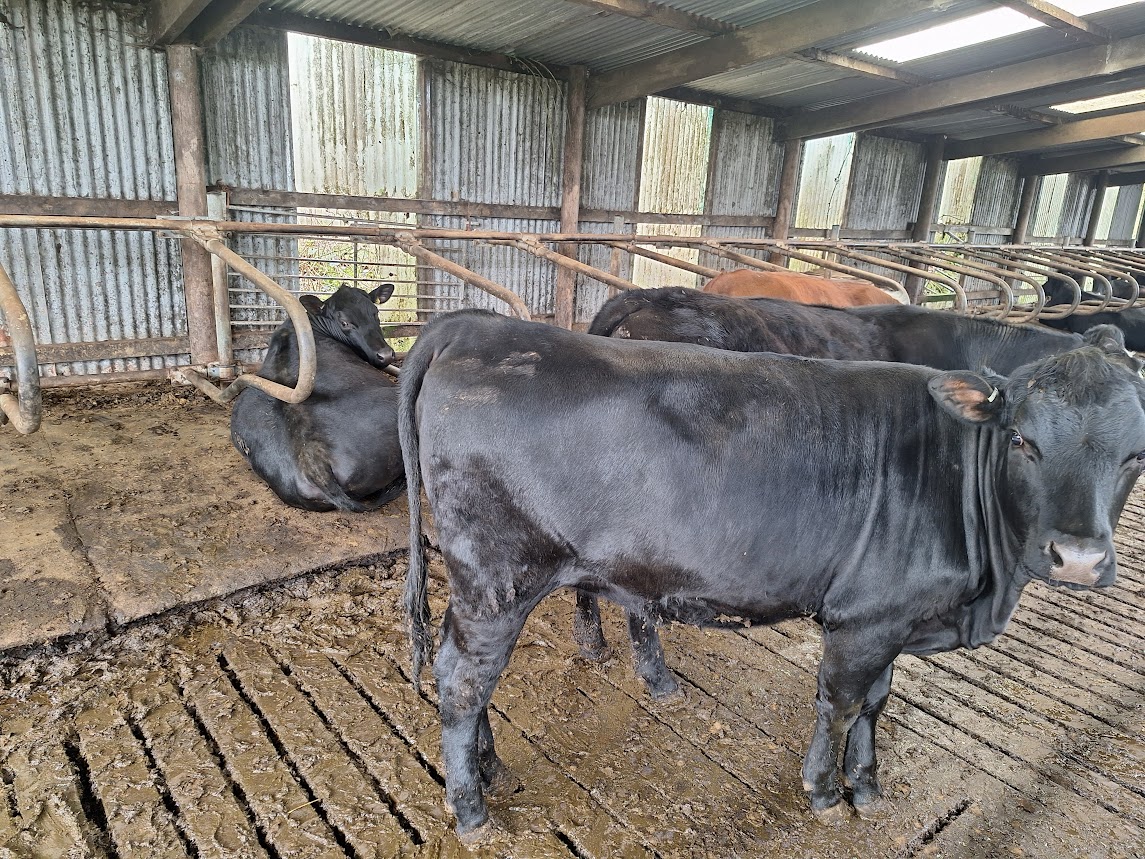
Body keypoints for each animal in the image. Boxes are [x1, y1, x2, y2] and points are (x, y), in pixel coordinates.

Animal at [400, 309, 1145, 839]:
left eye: (1135, 454)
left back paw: (492, 771)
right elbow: (840, 702)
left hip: (485, 585)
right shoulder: (862, 621)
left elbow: (876, 701)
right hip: (498, 576)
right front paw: (825, 790)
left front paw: (867, 786)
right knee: (462, 681)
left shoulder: (892, 616)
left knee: (464, 672)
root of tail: (471, 325)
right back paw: (471, 810)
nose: (1078, 558)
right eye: (1022, 440)